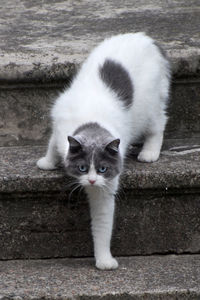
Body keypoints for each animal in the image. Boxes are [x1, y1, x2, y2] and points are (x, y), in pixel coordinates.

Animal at [36, 32, 170, 270]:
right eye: (82, 167)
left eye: (102, 169)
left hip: (151, 106)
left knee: (159, 124)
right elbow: (52, 143)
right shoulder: (60, 127)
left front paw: (104, 260)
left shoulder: (105, 187)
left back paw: (149, 153)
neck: (92, 124)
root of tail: (148, 39)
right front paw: (47, 162)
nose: (91, 181)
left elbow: (102, 224)